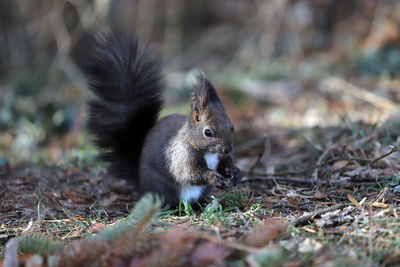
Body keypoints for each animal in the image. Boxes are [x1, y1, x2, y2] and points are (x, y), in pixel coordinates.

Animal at [72, 31, 241, 207]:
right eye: (208, 132)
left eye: (232, 126)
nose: (227, 148)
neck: (208, 153)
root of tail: (141, 185)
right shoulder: (181, 155)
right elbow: (188, 173)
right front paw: (213, 177)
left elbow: (225, 164)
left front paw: (234, 172)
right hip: (161, 187)